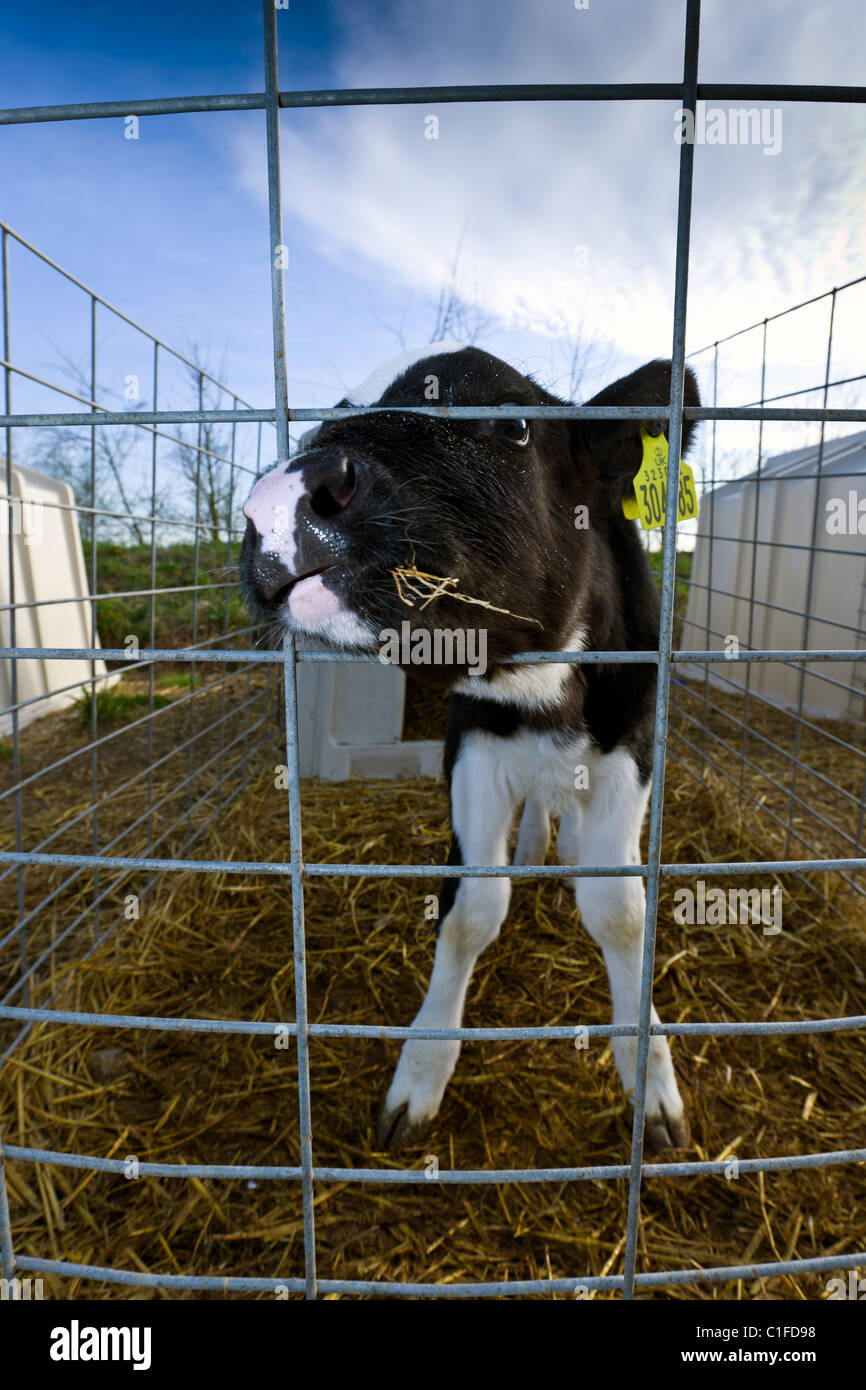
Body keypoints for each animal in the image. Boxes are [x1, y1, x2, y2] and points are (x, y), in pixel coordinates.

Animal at [240, 344, 700, 1150]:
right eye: (326, 418)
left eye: (512, 423)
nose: (278, 498)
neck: (539, 696)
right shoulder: (472, 749)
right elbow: (472, 909)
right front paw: (423, 1068)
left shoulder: (634, 747)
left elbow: (618, 910)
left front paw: (651, 1079)